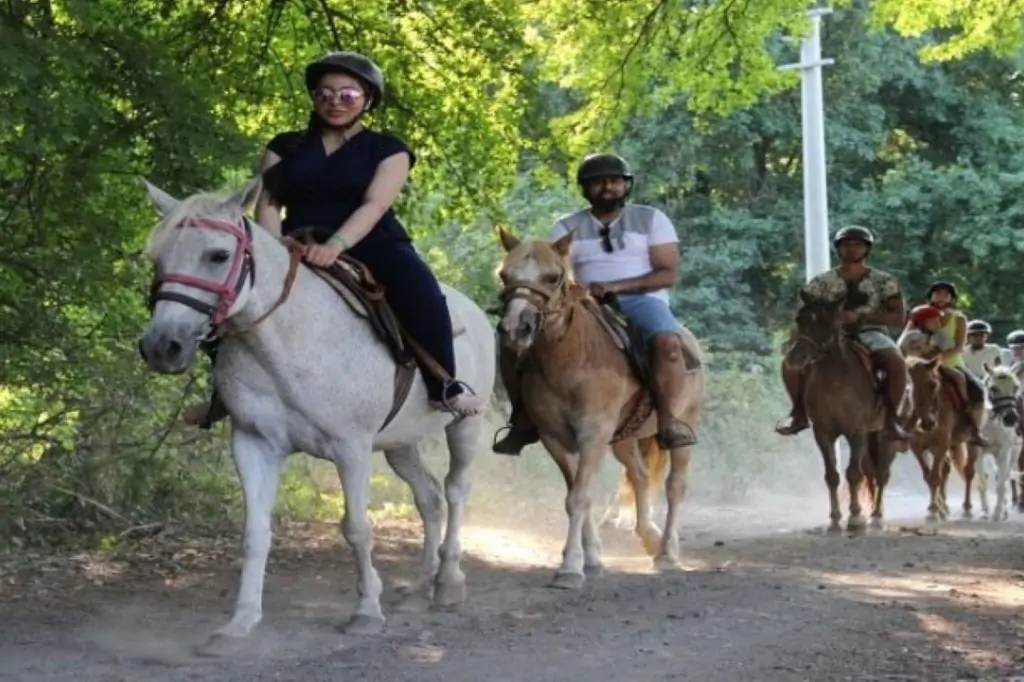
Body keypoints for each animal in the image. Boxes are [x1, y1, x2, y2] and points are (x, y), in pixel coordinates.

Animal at [136, 178, 495, 651]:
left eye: (218, 255)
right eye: (157, 257)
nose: (162, 347)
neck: (286, 339)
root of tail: (474, 310)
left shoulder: (351, 448)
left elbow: (357, 528)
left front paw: (366, 611)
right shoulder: (253, 444)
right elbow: (255, 534)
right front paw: (240, 622)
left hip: (465, 425)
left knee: (456, 490)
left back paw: (449, 581)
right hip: (400, 443)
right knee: (429, 498)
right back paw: (419, 589)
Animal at [493, 227, 704, 585]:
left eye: (552, 277)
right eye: (505, 275)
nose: (515, 329)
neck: (571, 360)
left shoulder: (592, 435)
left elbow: (578, 497)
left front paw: (569, 569)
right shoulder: (555, 438)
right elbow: (579, 496)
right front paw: (590, 559)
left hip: (684, 428)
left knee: (676, 486)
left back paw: (667, 554)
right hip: (623, 439)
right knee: (640, 476)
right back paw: (649, 537)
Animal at [782, 292, 897, 532]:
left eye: (826, 323)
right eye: (799, 320)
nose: (795, 359)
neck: (835, 382)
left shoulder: (857, 431)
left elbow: (853, 473)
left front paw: (854, 517)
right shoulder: (823, 432)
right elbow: (832, 475)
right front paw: (835, 519)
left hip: (883, 434)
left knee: (881, 473)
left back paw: (877, 517)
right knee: (871, 471)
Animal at [909, 352, 978, 518]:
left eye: (934, 385)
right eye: (910, 386)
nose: (928, 423)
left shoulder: (942, 442)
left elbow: (935, 477)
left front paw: (934, 511)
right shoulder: (917, 447)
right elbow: (928, 476)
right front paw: (935, 508)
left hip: (970, 441)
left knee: (968, 471)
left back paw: (967, 507)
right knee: (946, 468)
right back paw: (944, 506)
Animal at [970, 364, 1019, 518]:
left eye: (1015, 387)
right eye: (994, 389)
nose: (1010, 419)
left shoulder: (1004, 451)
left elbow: (1001, 484)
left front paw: (997, 513)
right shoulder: (978, 452)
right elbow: (983, 481)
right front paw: (985, 511)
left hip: (1014, 452)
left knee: (1005, 476)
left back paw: (1004, 510)